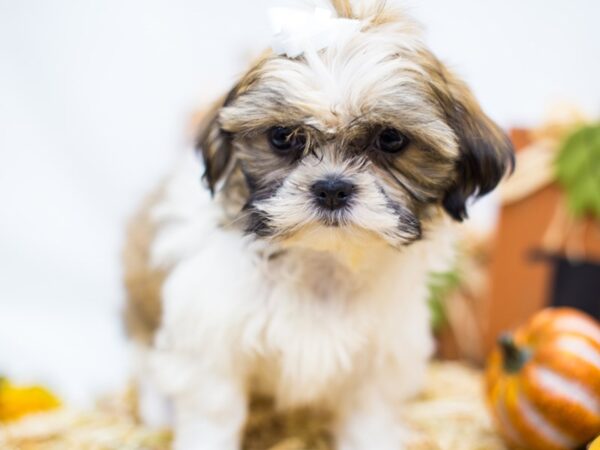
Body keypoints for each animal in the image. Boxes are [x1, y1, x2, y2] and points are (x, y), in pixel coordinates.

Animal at [124, 0, 512, 450]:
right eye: (282, 137)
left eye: (391, 139)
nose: (331, 188)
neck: (322, 260)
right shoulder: (209, 343)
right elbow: (213, 413)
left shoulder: (379, 359)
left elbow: (368, 420)